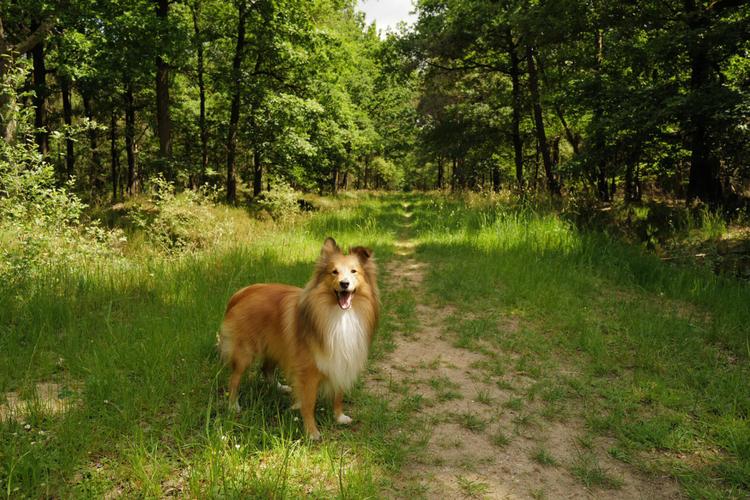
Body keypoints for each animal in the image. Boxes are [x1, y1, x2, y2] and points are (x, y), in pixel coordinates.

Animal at [220, 237, 378, 438]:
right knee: (234, 380)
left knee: (266, 369)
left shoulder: (341, 359)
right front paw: (312, 432)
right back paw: (233, 406)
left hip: (277, 345)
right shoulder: (308, 371)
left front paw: (339, 417)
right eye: (334, 272)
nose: (344, 284)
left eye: (353, 271)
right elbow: (309, 403)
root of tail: (242, 292)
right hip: (245, 352)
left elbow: (339, 394)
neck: (339, 315)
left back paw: (279, 388)